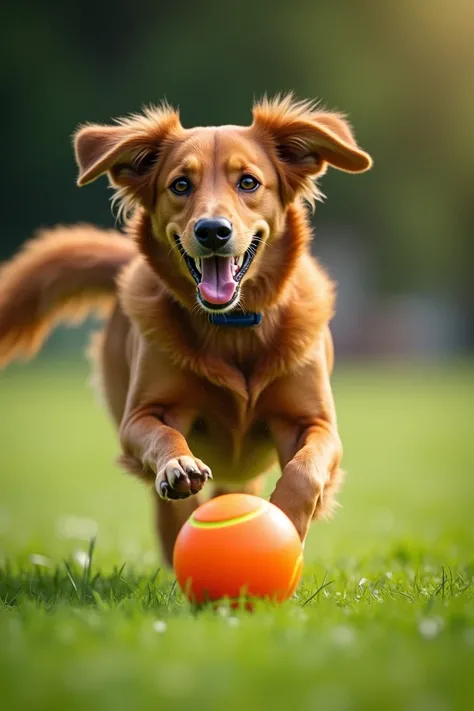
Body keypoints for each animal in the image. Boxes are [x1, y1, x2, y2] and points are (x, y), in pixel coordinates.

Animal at [0, 96, 370, 560]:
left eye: (248, 182)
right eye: (180, 185)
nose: (212, 231)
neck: (233, 325)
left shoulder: (314, 422)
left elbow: (305, 470)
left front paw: (283, 519)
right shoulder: (140, 416)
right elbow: (163, 435)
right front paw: (179, 465)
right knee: (173, 515)